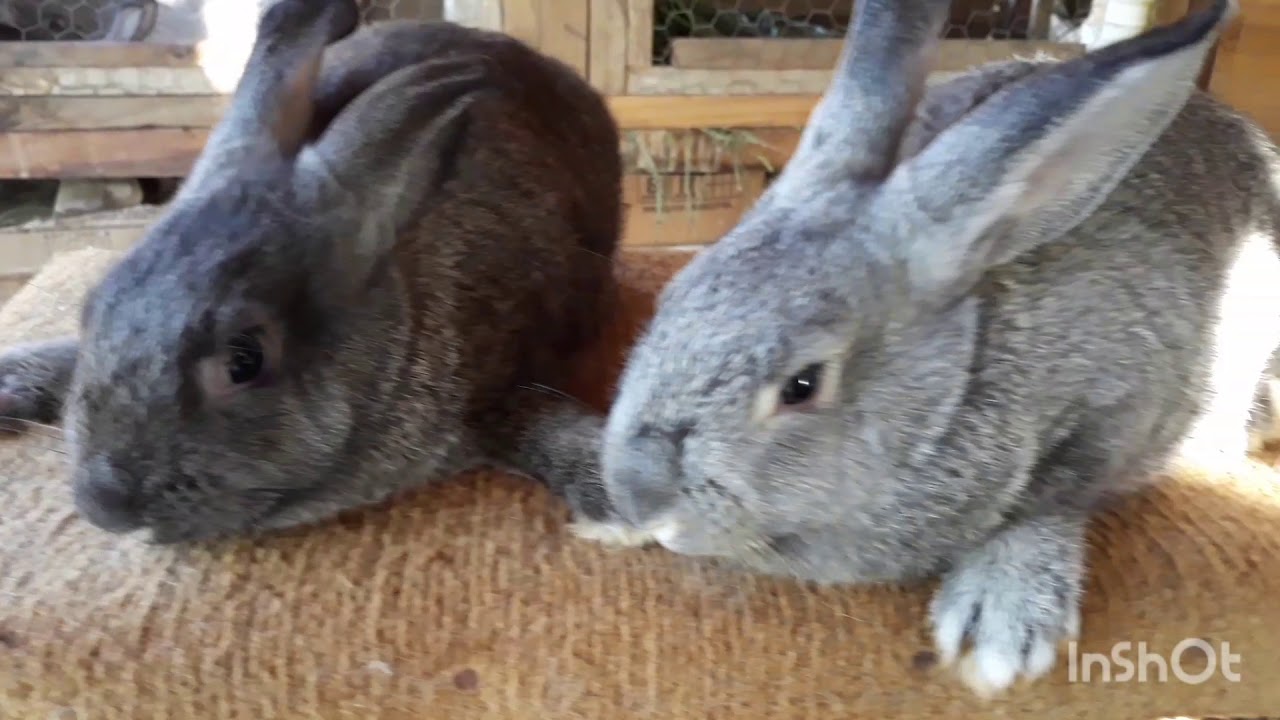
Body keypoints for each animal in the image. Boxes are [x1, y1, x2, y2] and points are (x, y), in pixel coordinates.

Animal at [574, 0, 1280, 698]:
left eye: (803, 384)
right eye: (669, 300)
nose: (640, 495)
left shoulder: (1126, 405)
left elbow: (1054, 498)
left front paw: (1000, 620)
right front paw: (607, 520)